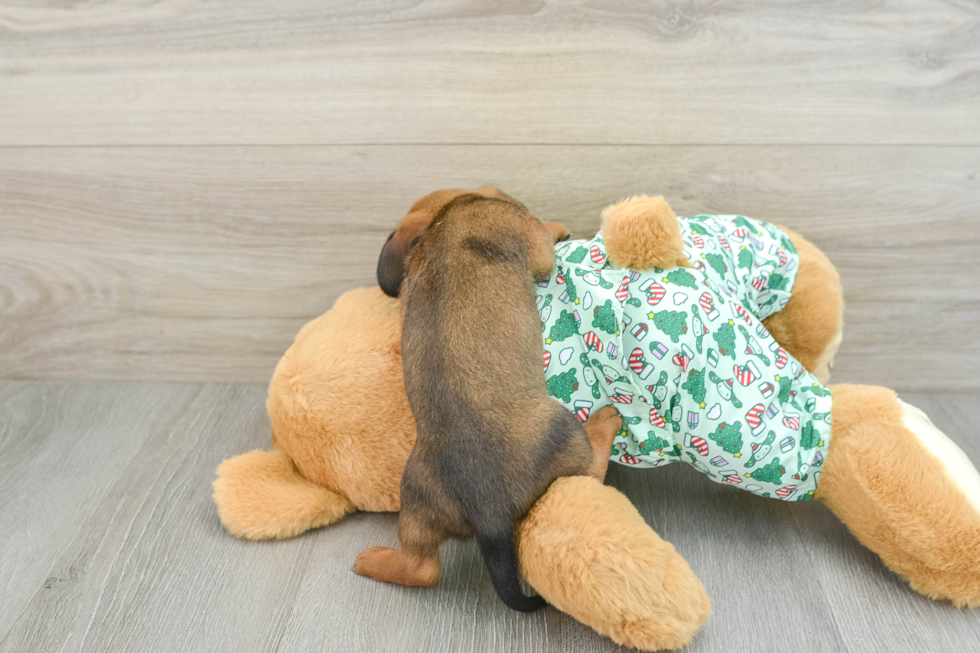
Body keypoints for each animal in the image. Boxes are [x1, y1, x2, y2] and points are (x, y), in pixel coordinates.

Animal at [358, 192, 620, 612]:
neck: (442, 221)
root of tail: (489, 517)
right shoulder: (530, 239)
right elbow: (544, 238)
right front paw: (558, 226)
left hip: (415, 501)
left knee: (422, 568)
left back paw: (372, 561)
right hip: (561, 427)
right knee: (590, 468)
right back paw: (604, 422)